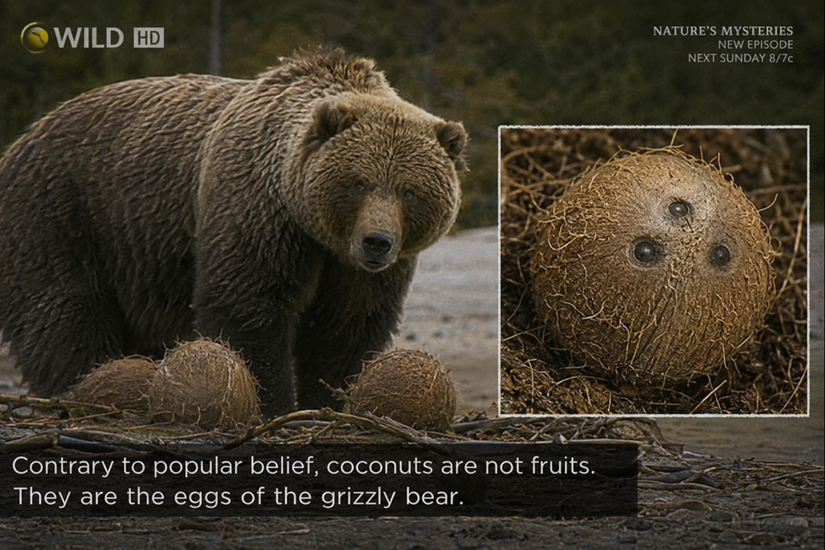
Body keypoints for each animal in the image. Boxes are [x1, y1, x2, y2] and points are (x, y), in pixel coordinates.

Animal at [0, 48, 467, 416]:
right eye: (359, 183)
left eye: (408, 190)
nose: (377, 242)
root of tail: (23, 137)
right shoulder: (258, 214)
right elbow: (248, 309)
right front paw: (271, 404)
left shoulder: (356, 269)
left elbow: (347, 326)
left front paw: (330, 400)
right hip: (62, 213)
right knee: (64, 312)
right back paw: (78, 389)